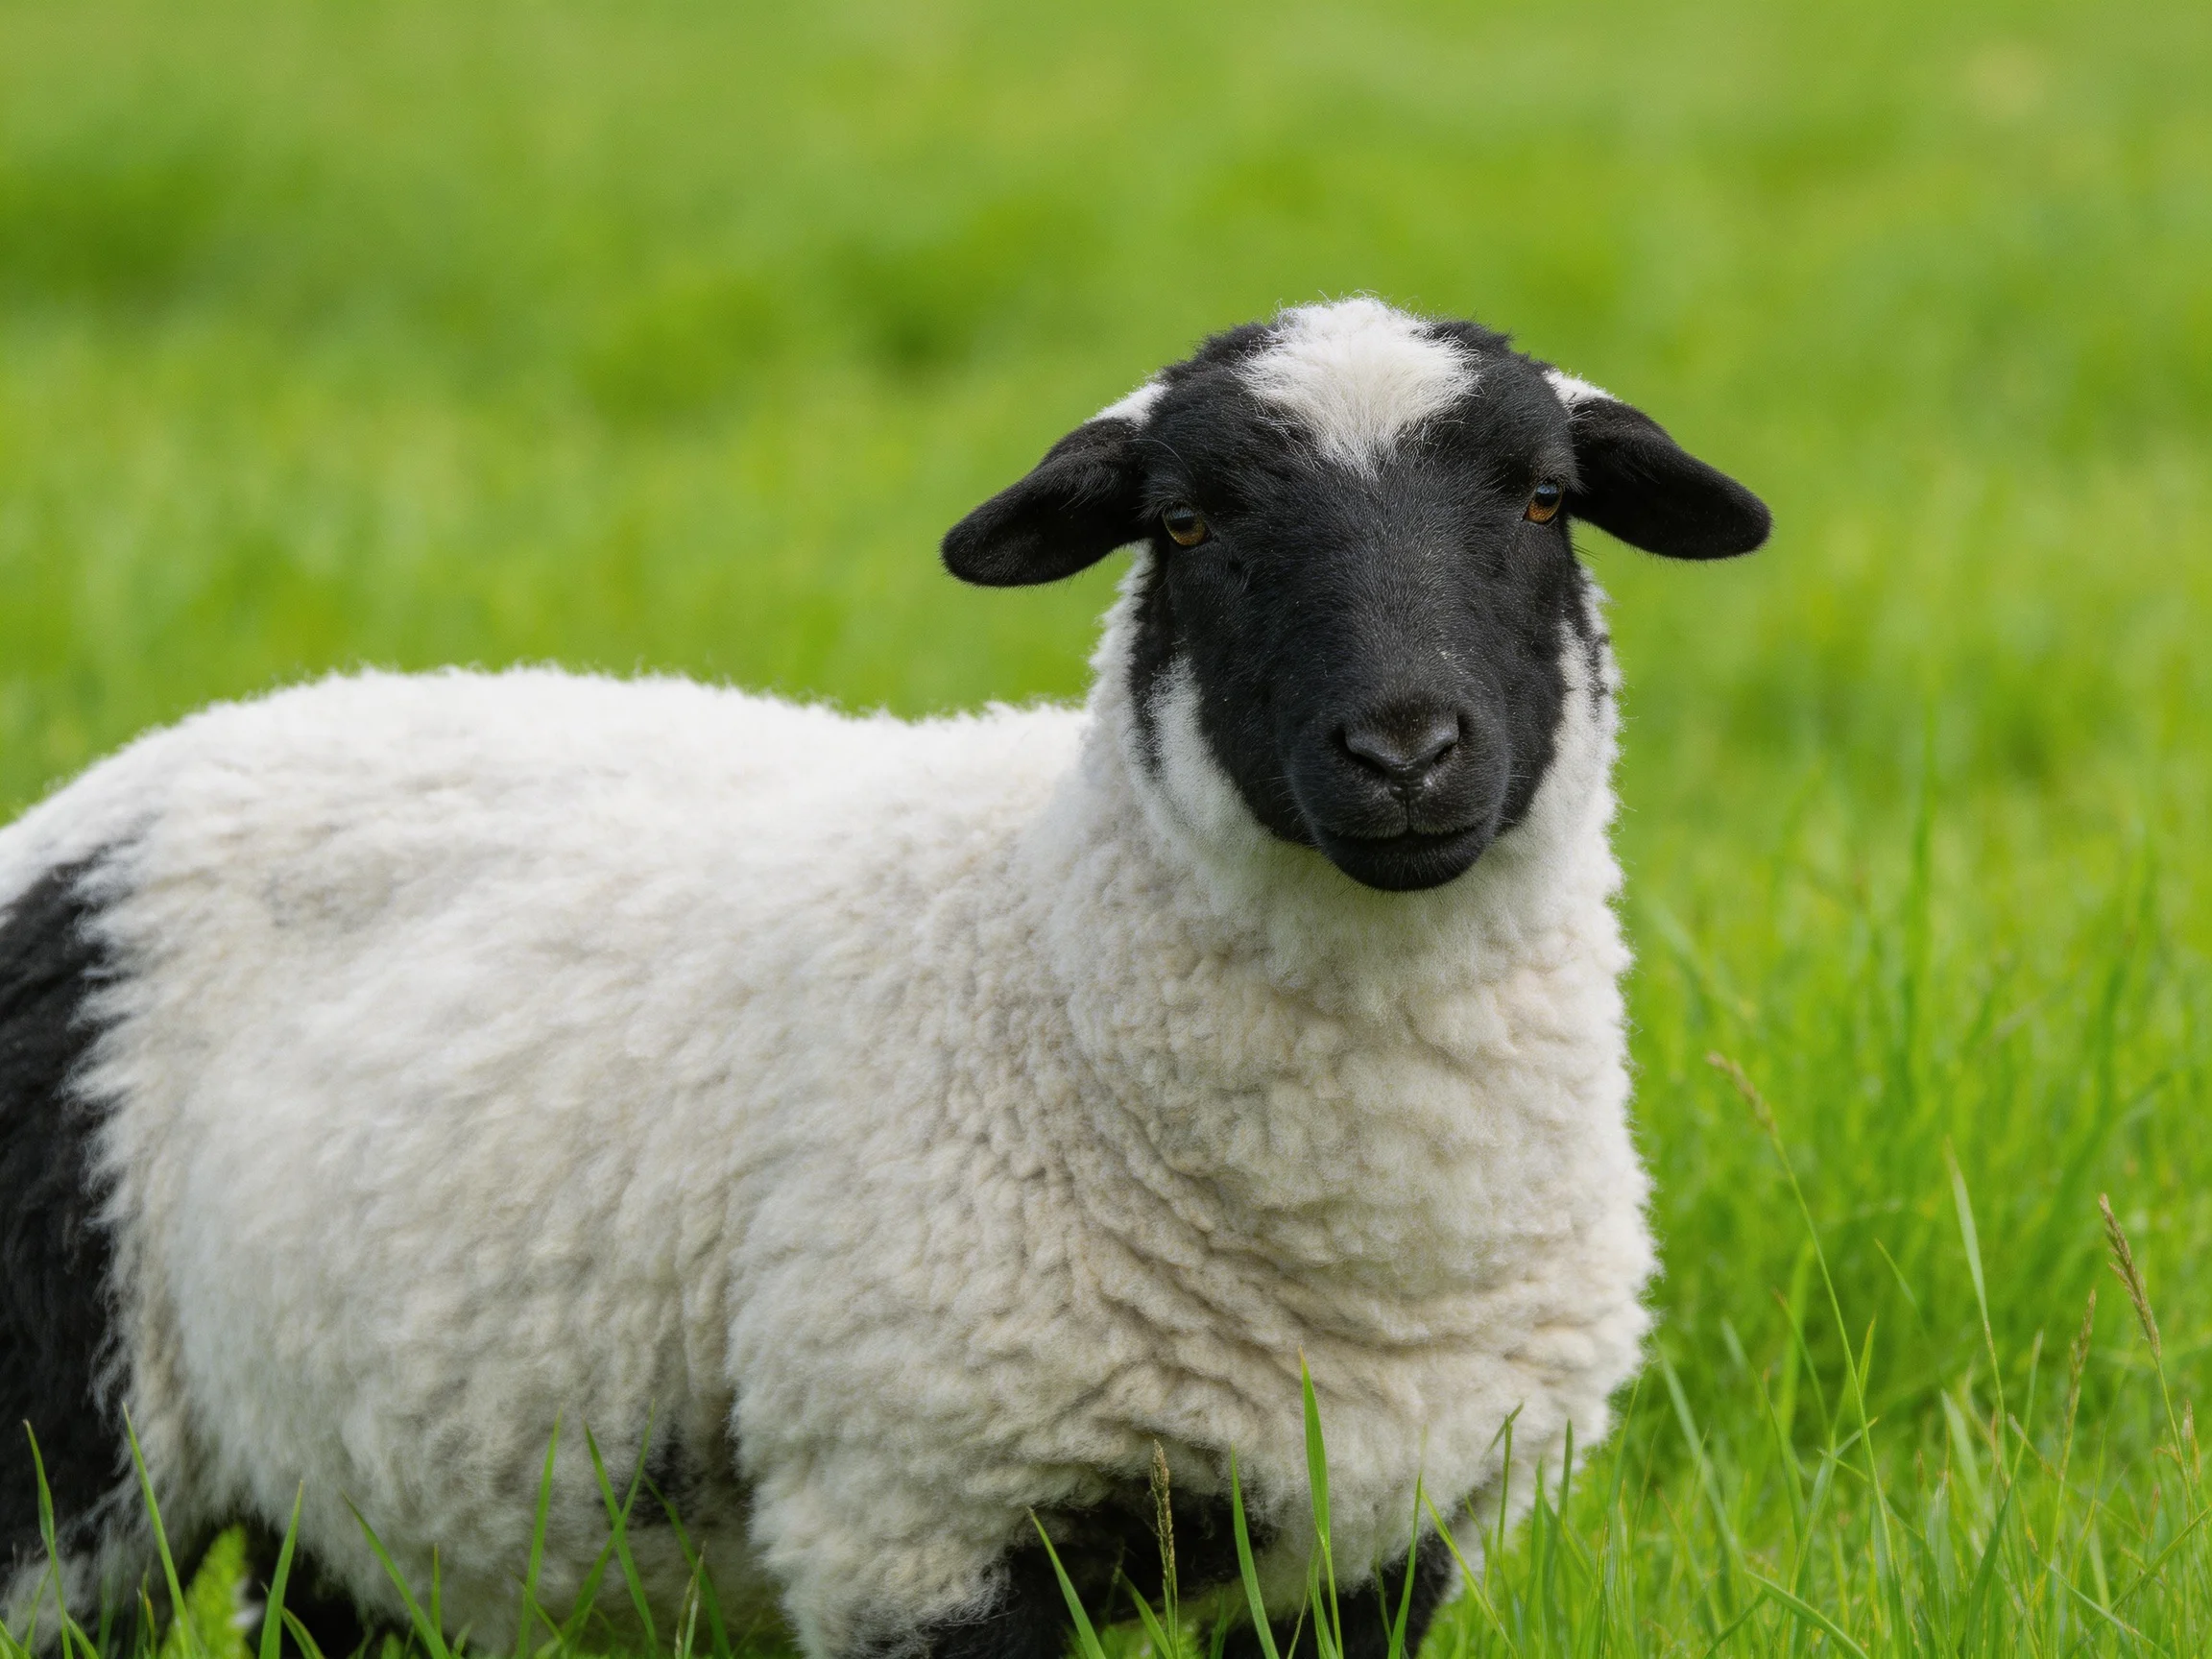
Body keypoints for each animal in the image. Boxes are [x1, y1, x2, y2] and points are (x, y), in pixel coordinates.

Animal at [0, 297, 1769, 1659]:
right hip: (59, 1449)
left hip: (359, 1491)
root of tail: (107, 791)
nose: (1404, 752)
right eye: (1185, 524)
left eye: (1542, 501)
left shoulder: (1383, 1544)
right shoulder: (919, 1517)